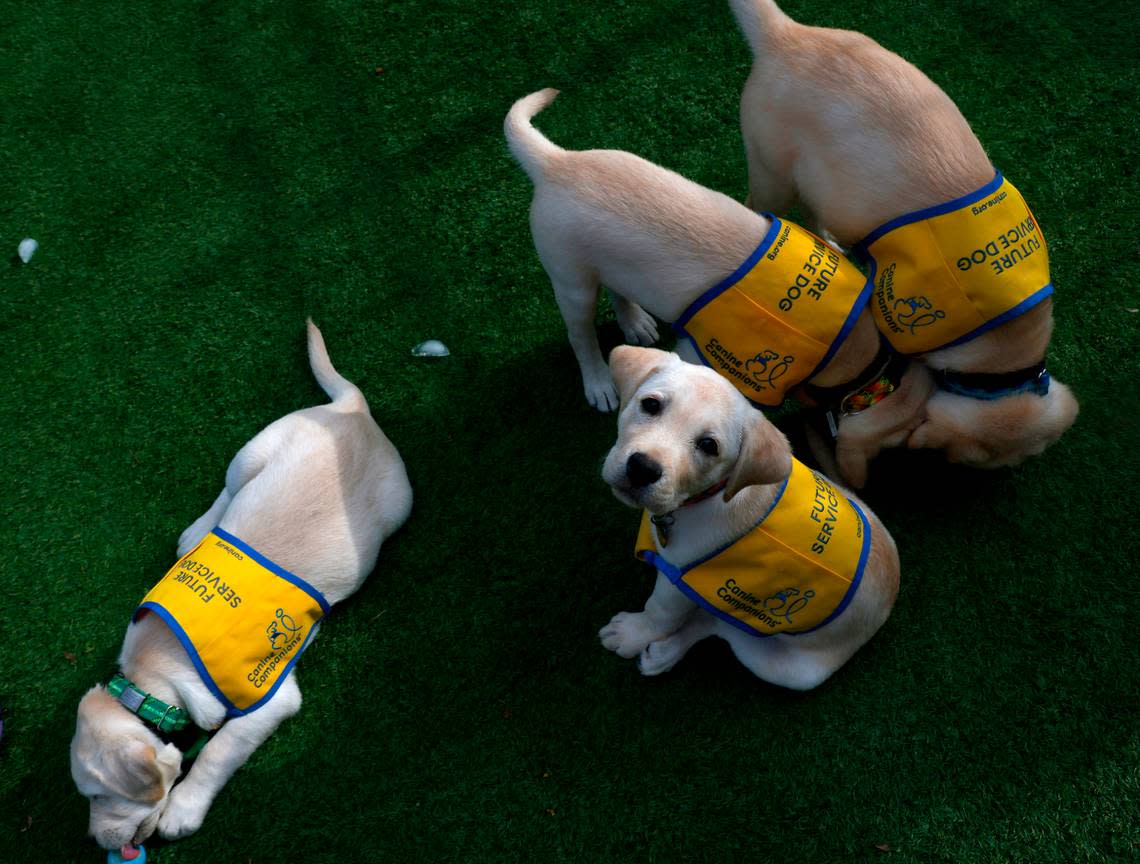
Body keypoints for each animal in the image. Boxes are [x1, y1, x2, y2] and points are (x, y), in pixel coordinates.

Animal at [68, 323, 412, 852]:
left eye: (97, 795)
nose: (94, 840)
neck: (151, 680)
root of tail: (352, 409)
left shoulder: (269, 696)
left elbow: (218, 749)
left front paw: (184, 808)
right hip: (256, 450)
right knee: (230, 490)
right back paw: (199, 533)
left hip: (397, 503)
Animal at [503, 92, 930, 494]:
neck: (855, 353)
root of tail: (556, 162)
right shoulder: (700, 355)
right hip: (572, 281)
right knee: (581, 335)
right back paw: (599, 383)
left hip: (606, 258)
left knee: (617, 289)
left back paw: (635, 322)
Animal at [597, 348, 898, 693]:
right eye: (650, 405)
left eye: (709, 446)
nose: (643, 468)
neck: (707, 496)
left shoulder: (680, 577)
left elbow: (659, 612)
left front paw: (633, 632)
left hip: (785, 667)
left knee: (720, 625)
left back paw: (663, 652)